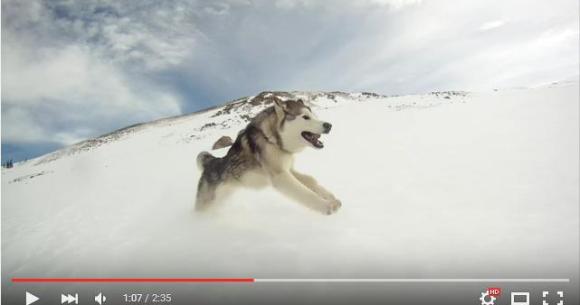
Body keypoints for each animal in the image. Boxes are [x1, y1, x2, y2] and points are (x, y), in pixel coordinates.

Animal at [196, 97, 340, 214]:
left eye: (314, 115)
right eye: (305, 117)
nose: (329, 125)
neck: (272, 139)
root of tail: (210, 162)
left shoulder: (288, 169)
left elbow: (310, 180)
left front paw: (331, 197)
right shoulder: (280, 177)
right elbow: (305, 192)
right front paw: (326, 205)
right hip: (205, 204)